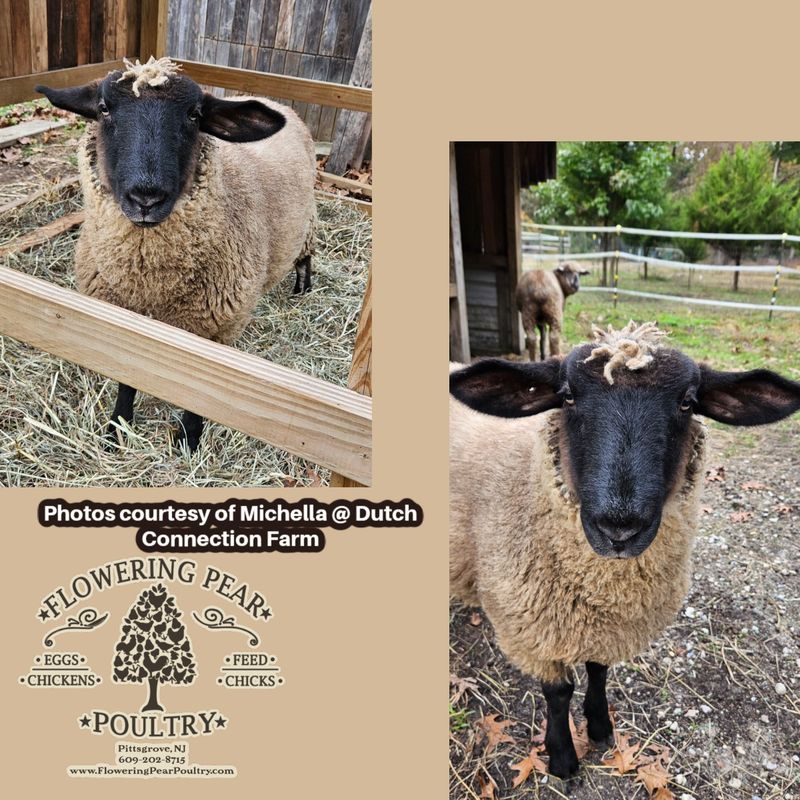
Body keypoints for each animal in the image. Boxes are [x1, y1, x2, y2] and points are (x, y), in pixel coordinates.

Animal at [36, 57, 317, 452]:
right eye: (104, 108)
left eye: (195, 115)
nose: (146, 197)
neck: (151, 285)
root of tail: (272, 100)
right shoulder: (122, 322)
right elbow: (127, 379)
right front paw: (117, 429)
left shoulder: (215, 331)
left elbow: (199, 393)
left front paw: (188, 439)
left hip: (307, 220)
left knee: (305, 256)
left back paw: (302, 288)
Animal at [449, 321, 800, 780]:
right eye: (567, 396)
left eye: (688, 402)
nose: (619, 528)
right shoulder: (533, 630)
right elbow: (558, 692)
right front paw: (563, 758)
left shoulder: (606, 626)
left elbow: (598, 671)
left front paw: (600, 728)